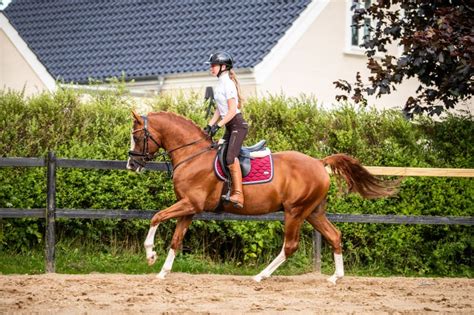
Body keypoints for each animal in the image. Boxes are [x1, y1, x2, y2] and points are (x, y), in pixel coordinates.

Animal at [126, 111, 396, 284]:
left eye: (137, 136)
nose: (131, 164)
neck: (193, 155)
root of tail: (320, 163)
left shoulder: (190, 204)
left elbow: (156, 217)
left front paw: (150, 255)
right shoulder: (190, 209)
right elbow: (176, 240)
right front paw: (163, 272)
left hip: (295, 212)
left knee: (290, 246)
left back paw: (260, 276)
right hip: (313, 212)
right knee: (334, 235)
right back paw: (335, 277)